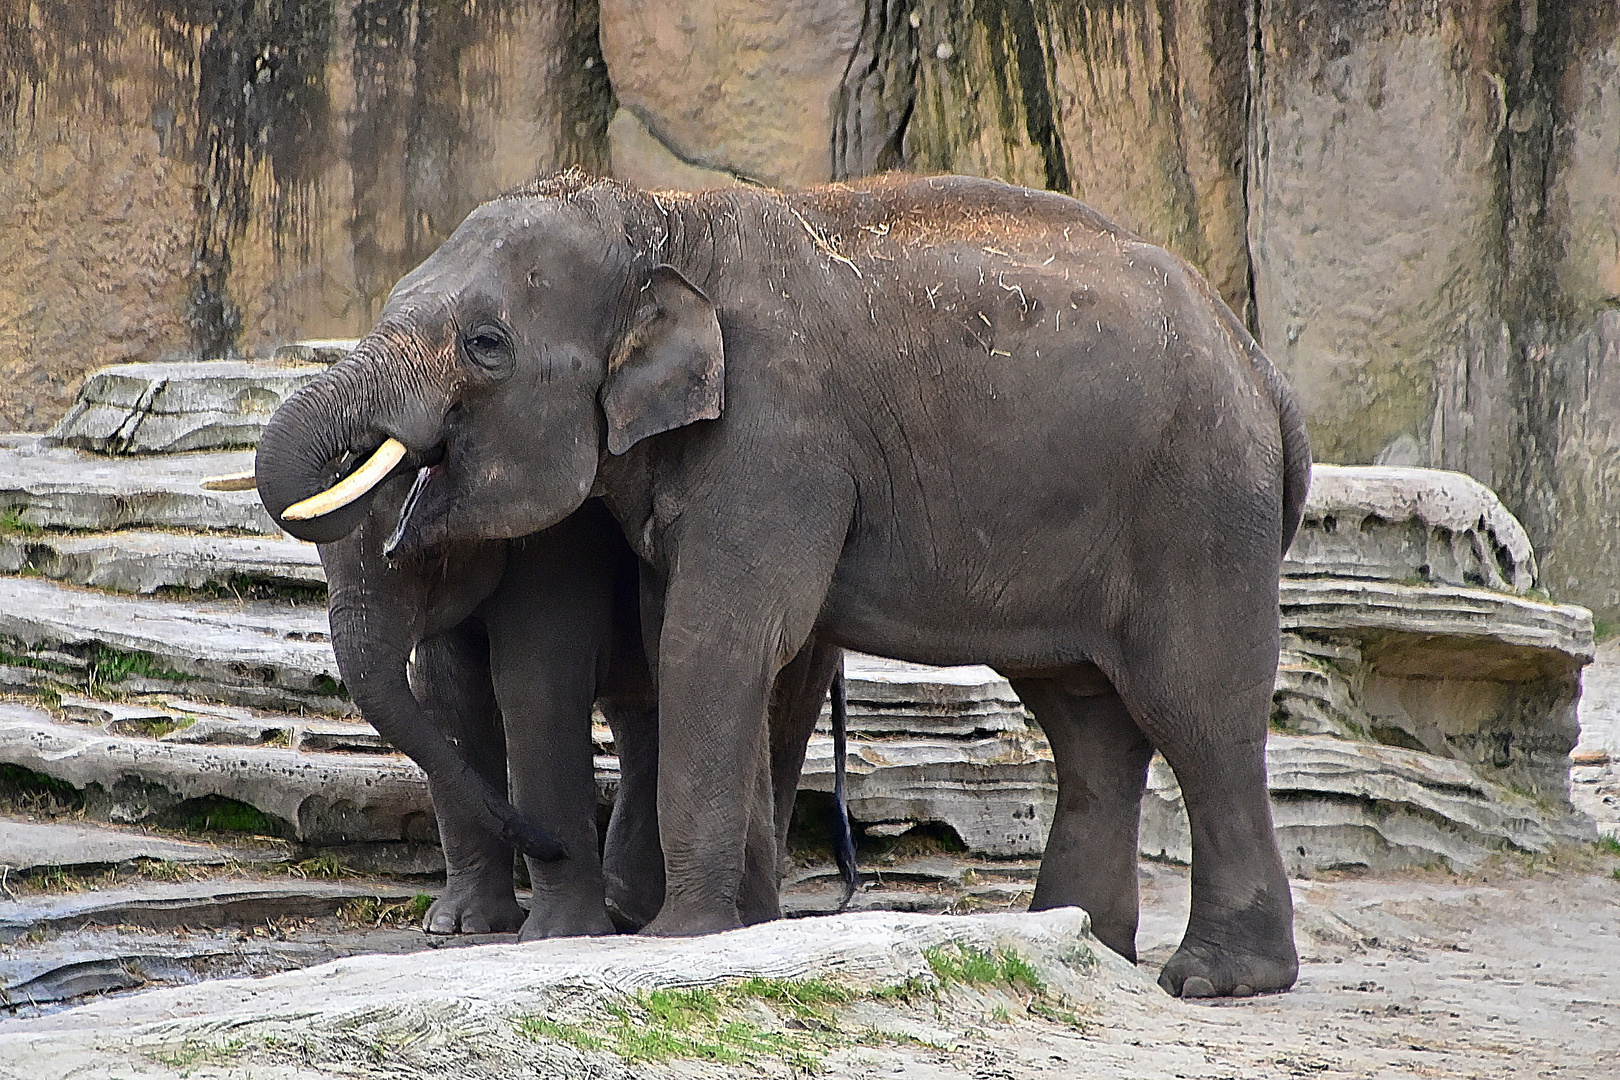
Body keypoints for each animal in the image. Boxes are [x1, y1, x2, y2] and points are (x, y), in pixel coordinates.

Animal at [255, 173, 1315, 1003]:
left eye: (485, 343)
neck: (660, 217)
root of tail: (1265, 371)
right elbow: (703, 644)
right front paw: (735, 930)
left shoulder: (777, 433)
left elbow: (714, 639)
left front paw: (675, 940)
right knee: (1085, 715)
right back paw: (1079, 937)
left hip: (1199, 504)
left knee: (1197, 709)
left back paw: (1214, 979)